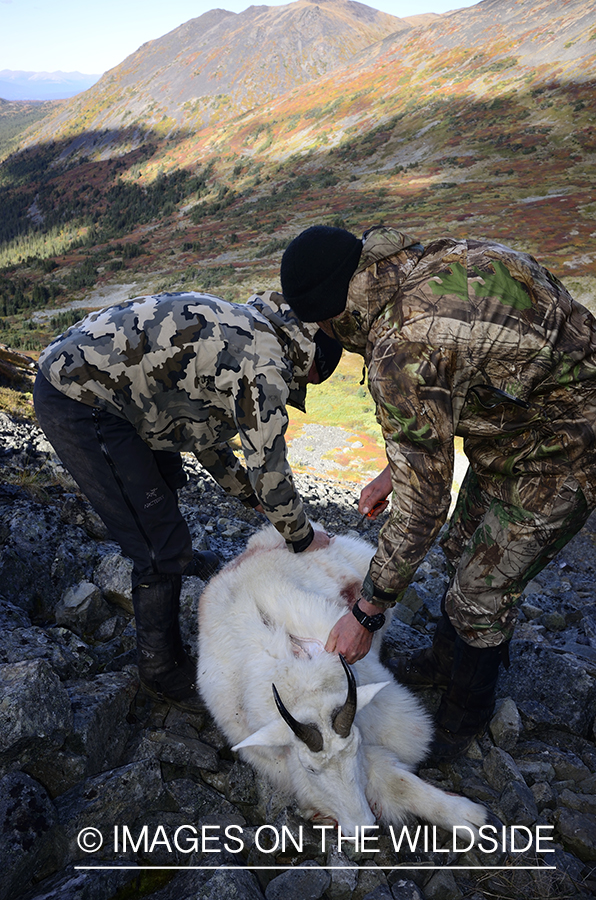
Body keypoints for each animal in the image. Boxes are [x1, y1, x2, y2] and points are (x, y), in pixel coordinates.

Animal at [198, 524, 486, 832]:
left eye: (355, 747)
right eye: (310, 768)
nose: (362, 826)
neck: (304, 690)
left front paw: (471, 817)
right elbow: (389, 778)